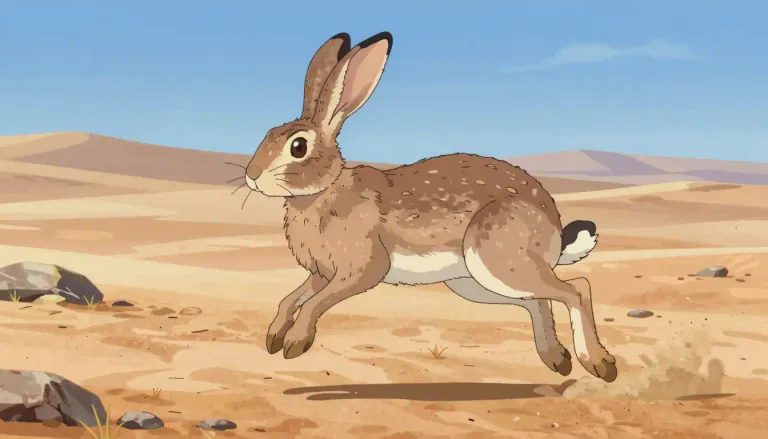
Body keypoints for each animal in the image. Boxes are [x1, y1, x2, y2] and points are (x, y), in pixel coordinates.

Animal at [242, 32, 617, 382]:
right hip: (476, 282)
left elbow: (315, 302)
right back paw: (557, 359)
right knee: (539, 300)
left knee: (577, 289)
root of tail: (553, 228)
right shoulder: (322, 273)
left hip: (498, 257)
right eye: (268, 133)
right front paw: (274, 336)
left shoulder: (361, 268)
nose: (251, 175)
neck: (324, 191)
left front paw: (296, 342)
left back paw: (599, 363)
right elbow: (292, 297)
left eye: (298, 147)